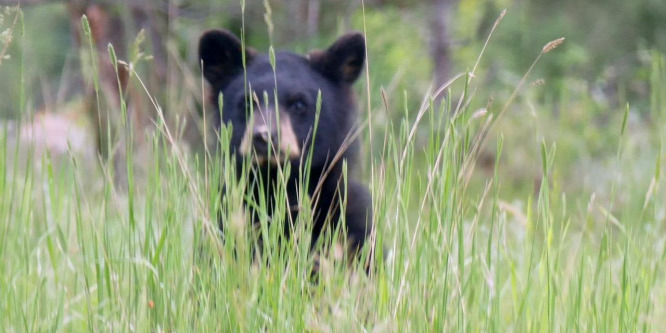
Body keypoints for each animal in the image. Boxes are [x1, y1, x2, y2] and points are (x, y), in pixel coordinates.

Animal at [197, 29, 374, 266]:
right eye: (247, 103)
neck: (280, 187)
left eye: (299, 104)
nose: (264, 136)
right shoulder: (230, 224)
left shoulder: (350, 227)